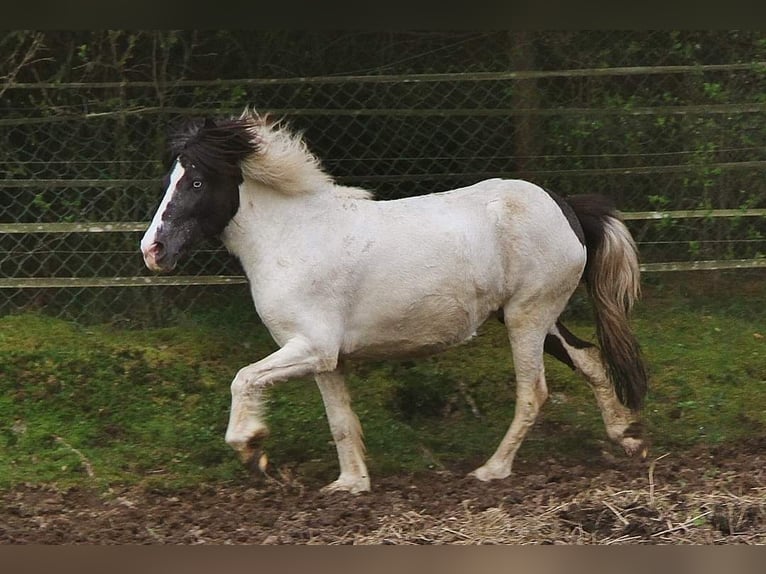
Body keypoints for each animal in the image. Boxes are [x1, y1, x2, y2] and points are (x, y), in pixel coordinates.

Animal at [141, 111, 652, 496]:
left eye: (196, 183)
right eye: (171, 179)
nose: (153, 251)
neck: (291, 237)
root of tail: (566, 208)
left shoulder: (311, 347)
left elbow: (243, 379)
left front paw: (254, 451)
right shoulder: (323, 358)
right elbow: (340, 420)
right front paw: (350, 484)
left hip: (527, 318)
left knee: (534, 393)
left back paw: (491, 470)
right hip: (534, 317)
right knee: (591, 360)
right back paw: (628, 439)